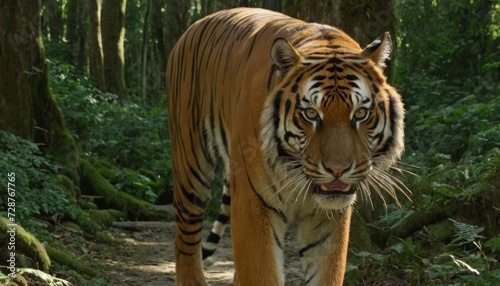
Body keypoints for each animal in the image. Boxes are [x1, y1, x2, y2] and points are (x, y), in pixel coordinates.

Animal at [168, 6, 406, 286]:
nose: (338, 169)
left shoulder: (328, 219)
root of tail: (191, 29)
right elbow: (260, 272)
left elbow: (328, 272)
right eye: (311, 114)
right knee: (185, 239)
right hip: (190, 164)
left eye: (360, 114)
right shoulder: (252, 203)